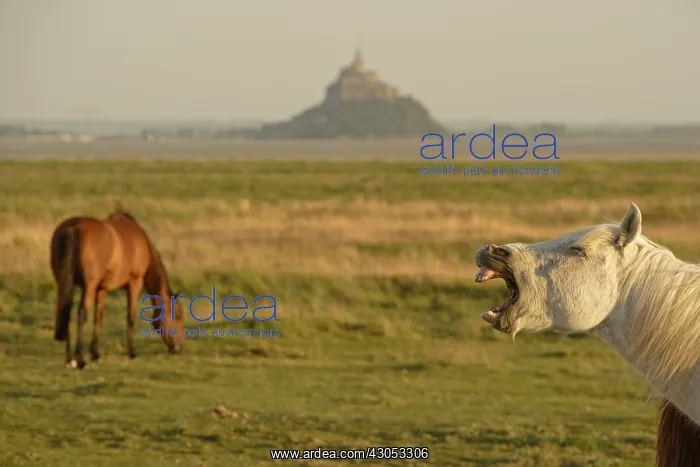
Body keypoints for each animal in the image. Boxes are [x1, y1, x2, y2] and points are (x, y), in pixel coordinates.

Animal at [50, 205, 185, 369]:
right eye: (177, 315)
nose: (179, 348)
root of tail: (73, 227)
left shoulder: (102, 289)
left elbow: (98, 317)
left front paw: (95, 354)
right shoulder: (134, 283)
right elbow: (130, 316)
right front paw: (131, 353)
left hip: (66, 284)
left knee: (67, 312)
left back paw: (70, 359)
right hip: (88, 287)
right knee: (81, 313)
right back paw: (79, 359)